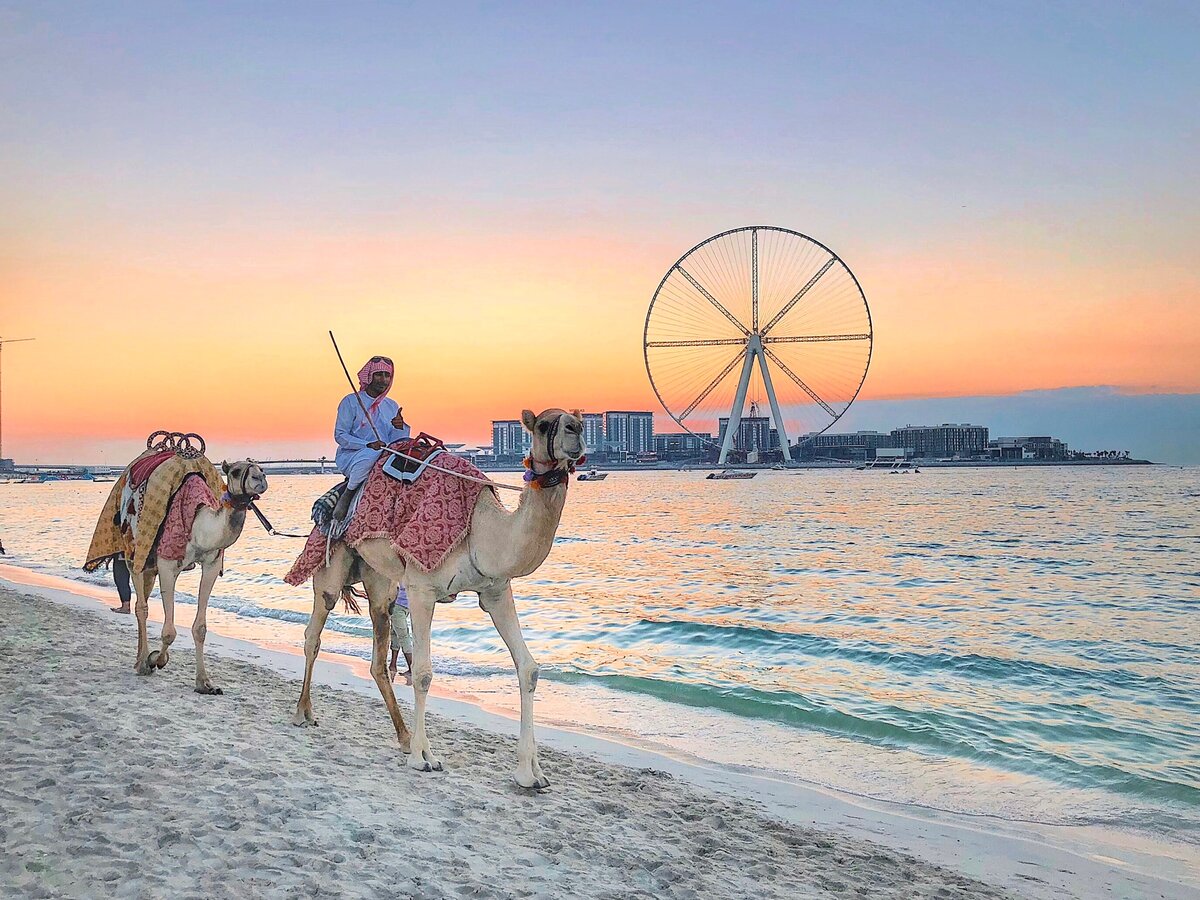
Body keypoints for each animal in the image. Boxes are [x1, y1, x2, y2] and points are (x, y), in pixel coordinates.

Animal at [133, 460, 270, 696]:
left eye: (262, 469)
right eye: (235, 471)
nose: (260, 480)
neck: (199, 527)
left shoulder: (212, 564)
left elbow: (200, 629)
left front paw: (204, 683)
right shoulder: (167, 563)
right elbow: (169, 632)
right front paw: (156, 660)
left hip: (149, 567)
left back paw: (138, 660)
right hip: (135, 552)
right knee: (141, 606)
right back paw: (142, 663)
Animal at [295, 408, 585, 787]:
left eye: (576, 418)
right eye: (544, 425)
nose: (577, 430)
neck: (480, 529)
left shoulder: (496, 590)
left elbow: (529, 669)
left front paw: (530, 772)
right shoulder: (422, 589)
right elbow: (422, 673)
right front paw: (425, 758)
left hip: (381, 582)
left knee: (377, 652)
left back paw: (403, 737)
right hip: (331, 567)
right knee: (313, 634)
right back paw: (304, 712)